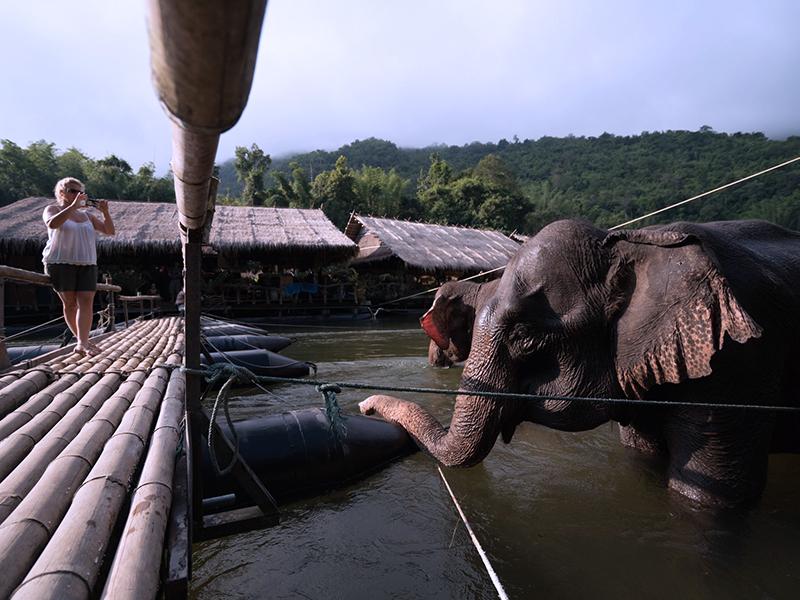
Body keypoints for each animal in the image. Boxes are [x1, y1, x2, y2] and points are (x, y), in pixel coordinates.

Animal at [360, 219, 800, 506]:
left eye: (525, 337)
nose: (364, 406)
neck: (630, 244)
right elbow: (642, 456)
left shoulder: (738, 365)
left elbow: (710, 492)